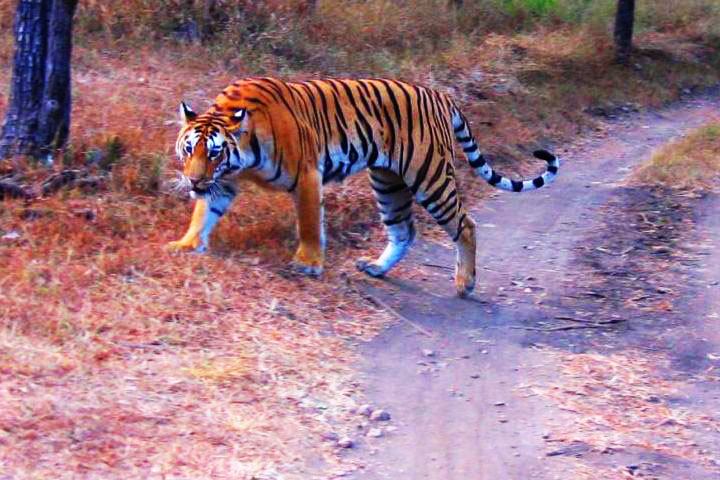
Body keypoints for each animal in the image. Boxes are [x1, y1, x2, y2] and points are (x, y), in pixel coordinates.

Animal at [167, 77, 559, 297]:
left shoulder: (307, 175)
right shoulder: (223, 184)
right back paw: (376, 268)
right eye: (189, 150)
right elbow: (203, 214)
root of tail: (440, 95)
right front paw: (187, 244)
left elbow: (309, 223)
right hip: (388, 181)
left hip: (429, 176)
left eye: (214, 153)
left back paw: (465, 283)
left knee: (466, 225)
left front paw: (308, 264)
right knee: (404, 230)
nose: (194, 180)